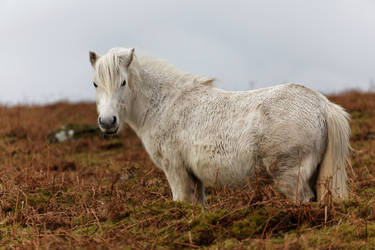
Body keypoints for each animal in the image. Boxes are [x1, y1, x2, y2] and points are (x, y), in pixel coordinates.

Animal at [89, 47, 352, 204]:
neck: (165, 104)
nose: (107, 122)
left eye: (123, 82)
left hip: (290, 177)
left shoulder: (175, 171)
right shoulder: (195, 178)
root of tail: (321, 104)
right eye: (95, 84)